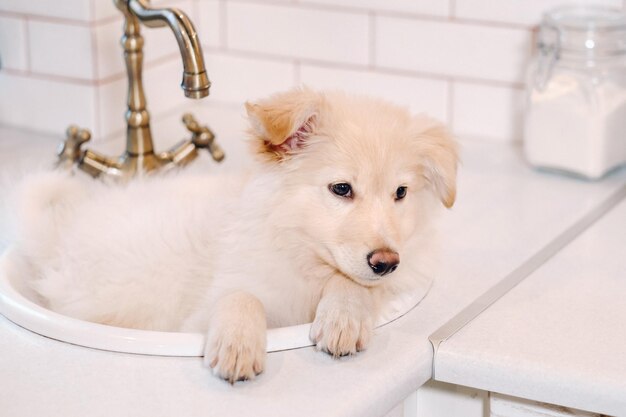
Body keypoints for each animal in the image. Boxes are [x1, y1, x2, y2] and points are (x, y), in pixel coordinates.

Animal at [13, 88, 454, 384]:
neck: (302, 253)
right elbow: (240, 295)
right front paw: (237, 344)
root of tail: (60, 230)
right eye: (341, 189)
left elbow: (355, 284)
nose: (386, 262)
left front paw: (342, 317)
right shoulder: (206, 305)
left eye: (401, 193)